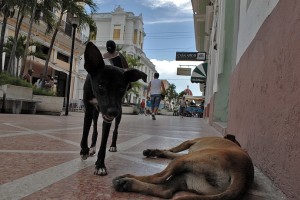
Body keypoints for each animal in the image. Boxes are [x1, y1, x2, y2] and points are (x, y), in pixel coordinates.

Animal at [79, 41, 146, 175]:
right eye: (101, 85)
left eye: (121, 88)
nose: (113, 112)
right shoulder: (88, 109)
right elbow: (85, 131)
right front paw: (84, 150)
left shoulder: (109, 117)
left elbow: (104, 141)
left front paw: (100, 165)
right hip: (95, 112)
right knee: (94, 129)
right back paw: (92, 148)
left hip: (118, 114)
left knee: (115, 131)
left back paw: (113, 145)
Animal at [112, 135, 253, 199]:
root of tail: (242, 172)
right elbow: (170, 152)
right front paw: (156, 152)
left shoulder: (190, 142)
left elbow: (174, 149)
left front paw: (157, 151)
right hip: (188, 176)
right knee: (165, 190)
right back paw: (126, 184)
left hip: (184, 161)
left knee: (157, 178)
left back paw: (126, 178)